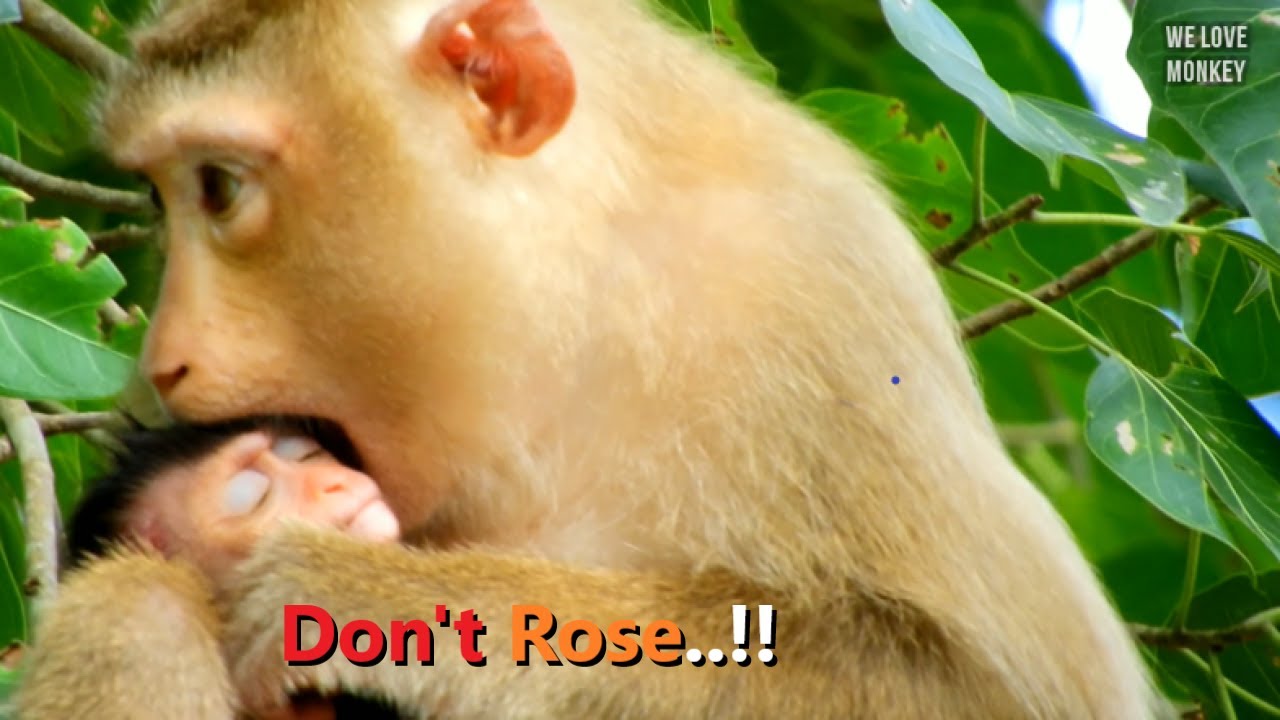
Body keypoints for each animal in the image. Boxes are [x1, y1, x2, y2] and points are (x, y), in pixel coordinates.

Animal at [16, 0, 1170, 718]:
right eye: (158, 192)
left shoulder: (824, 309)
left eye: (216, 188)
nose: (160, 361)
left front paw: (371, 603)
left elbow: (996, 690)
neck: (571, 332)